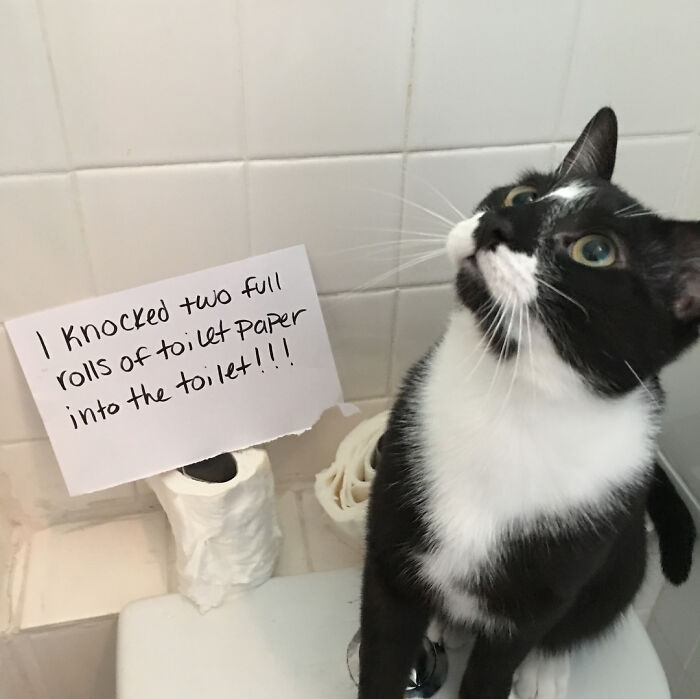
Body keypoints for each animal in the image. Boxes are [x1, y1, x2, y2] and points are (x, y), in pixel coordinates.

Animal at [358, 107, 697, 699]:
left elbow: (502, 661)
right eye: (522, 195)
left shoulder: (547, 583)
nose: (498, 224)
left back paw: (546, 667)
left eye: (596, 251)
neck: (506, 400)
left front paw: (528, 665)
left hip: (624, 551)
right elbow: (383, 650)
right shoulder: (391, 541)